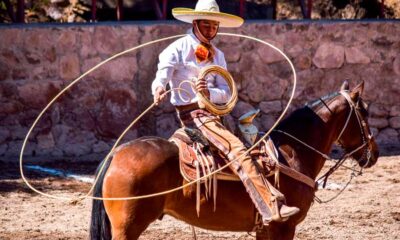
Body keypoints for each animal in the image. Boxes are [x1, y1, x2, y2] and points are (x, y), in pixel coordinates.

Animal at [89, 81, 380, 240]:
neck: (292, 154)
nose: (374, 154)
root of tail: (116, 153)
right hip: (127, 228)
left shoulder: (265, 230)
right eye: (364, 112)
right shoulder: (284, 228)